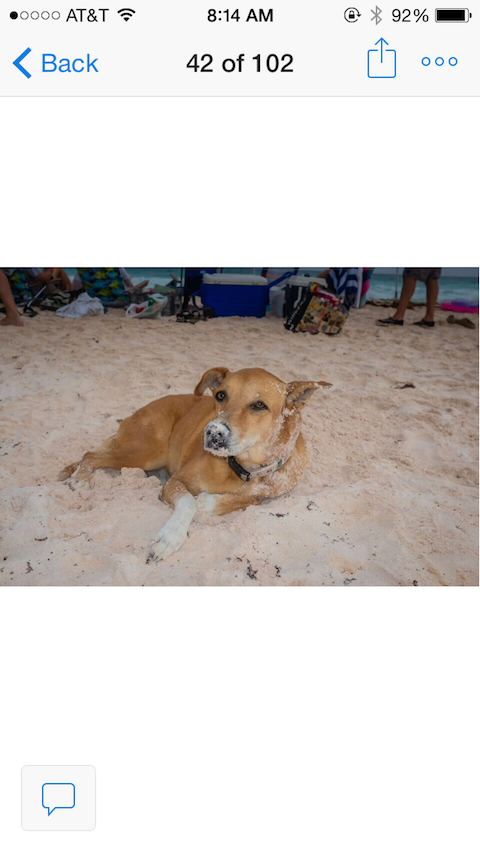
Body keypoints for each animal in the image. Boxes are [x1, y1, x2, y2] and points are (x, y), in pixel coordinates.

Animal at [60, 366, 330, 560]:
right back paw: (81, 480)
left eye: (259, 405)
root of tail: (134, 414)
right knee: (90, 455)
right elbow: (188, 502)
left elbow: (241, 499)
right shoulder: (178, 480)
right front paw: (170, 537)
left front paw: (207, 502)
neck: (242, 468)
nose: (213, 432)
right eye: (221, 395)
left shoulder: (265, 491)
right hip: (145, 452)